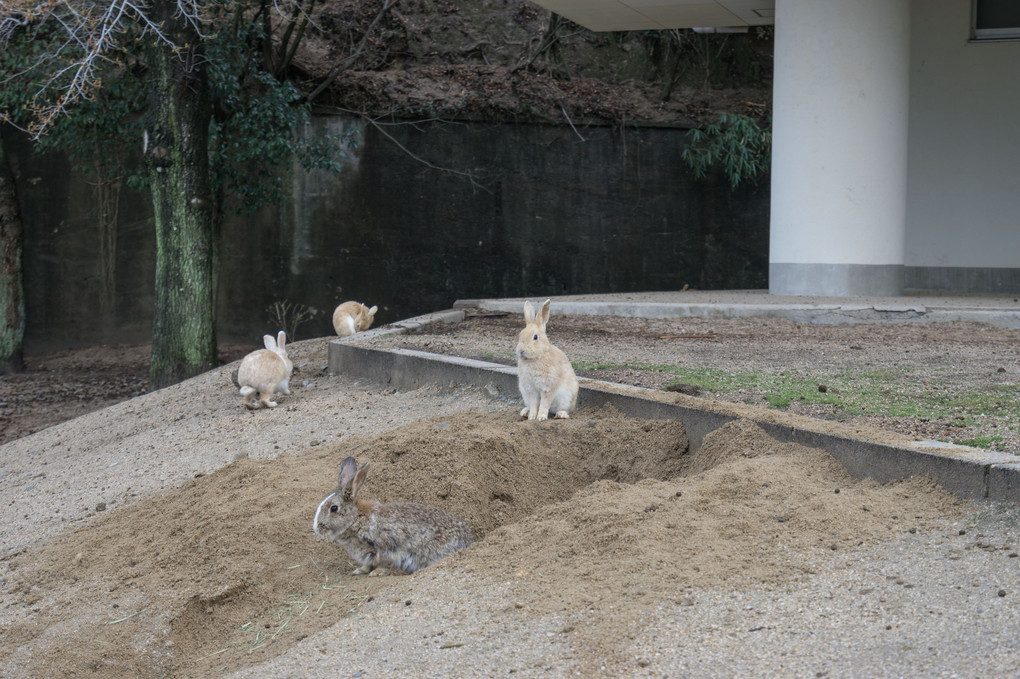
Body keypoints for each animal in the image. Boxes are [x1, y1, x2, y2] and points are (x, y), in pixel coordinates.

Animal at [310, 456, 473, 575]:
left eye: (334, 508)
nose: (316, 529)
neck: (356, 519)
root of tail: (470, 540)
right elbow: (367, 565)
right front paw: (359, 571)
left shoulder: (386, 548)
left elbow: (385, 563)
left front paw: (376, 573)